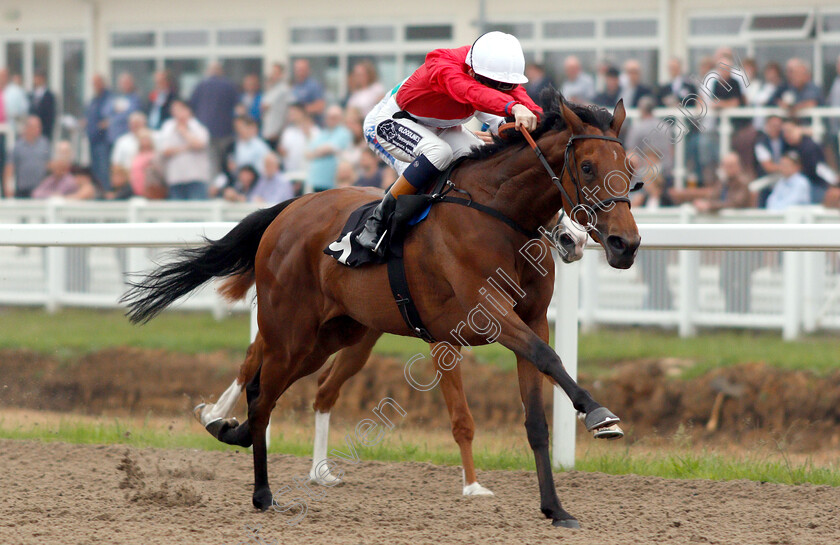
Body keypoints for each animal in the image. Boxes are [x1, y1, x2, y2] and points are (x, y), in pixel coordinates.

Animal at [123, 93, 636, 528]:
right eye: (587, 166)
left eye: (629, 167)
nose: (624, 244)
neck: (498, 214)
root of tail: (291, 209)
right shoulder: (487, 314)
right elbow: (548, 361)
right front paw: (600, 415)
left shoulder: (530, 321)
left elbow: (536, 417)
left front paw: (555, 509)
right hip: (290, 331)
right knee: (261, 392)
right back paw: (261, 491)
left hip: (334, 334)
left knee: (278, 388)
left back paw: (233, 432)